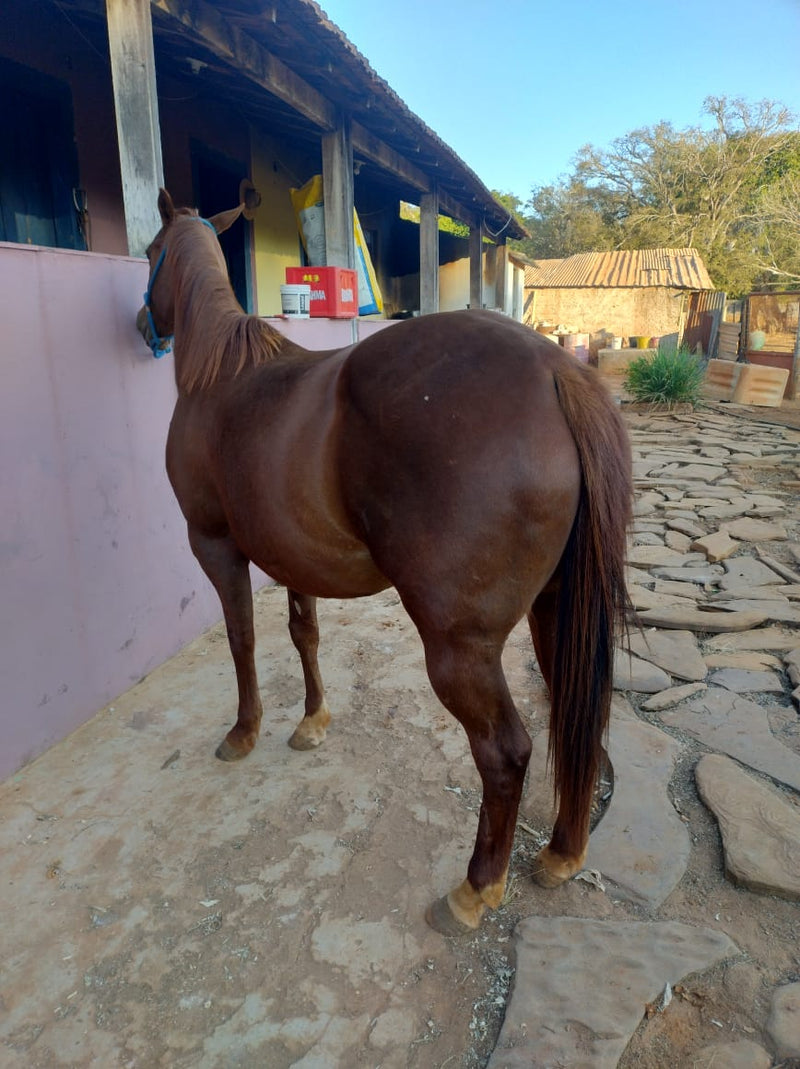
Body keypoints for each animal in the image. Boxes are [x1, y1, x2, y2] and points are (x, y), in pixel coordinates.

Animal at [137, 192, 633, 936]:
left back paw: (475, 888)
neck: (220, 375)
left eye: (148, 252)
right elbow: (303, 633)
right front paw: (311, 721)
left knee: (506, 753)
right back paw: (562, 853)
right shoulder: (292, 556)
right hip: (558, 617)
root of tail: (557, 371)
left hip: (459, 646)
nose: (141, 323)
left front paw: (244, 730)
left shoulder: (216, 544)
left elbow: (242, 639)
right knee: (582, 720)